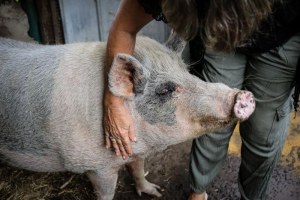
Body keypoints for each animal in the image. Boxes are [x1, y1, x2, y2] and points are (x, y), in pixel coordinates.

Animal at [0, 35, 255, 199]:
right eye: (164, 90)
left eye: (186, 71)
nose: (243, 95)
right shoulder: (95, 167)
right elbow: (107, 192)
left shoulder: (136, 151)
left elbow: (138, 169)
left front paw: (155, 192)